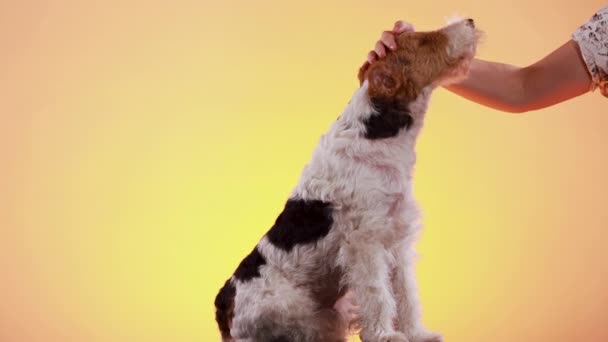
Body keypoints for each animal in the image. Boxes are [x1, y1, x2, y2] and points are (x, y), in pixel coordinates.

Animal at [214, 18, 480, 342]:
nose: (470, 21)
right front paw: (385, 334)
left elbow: (405, 293)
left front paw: (416, 333)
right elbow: (378, 293)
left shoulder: (397, 235)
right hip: (291, 306)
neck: (375, 132)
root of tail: (224, 305)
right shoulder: (365, 239)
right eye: (423, 41)